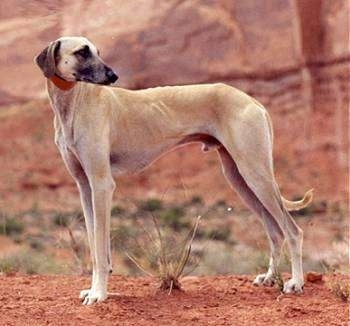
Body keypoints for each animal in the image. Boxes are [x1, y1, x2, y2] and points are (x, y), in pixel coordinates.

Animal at [34, 37, 314, 304]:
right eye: (82, 52)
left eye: (97, 51)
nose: (113, 76)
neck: (75, 103)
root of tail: (253, 100)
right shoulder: (85, 187)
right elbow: (95, 246)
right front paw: (94, 289)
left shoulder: (102, 184)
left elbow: (101, 251)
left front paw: (99, 294)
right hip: (240, 179)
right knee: (275, 231)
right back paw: (269, 277)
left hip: (256, 174)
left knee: (293, 231)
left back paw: (296, 282)